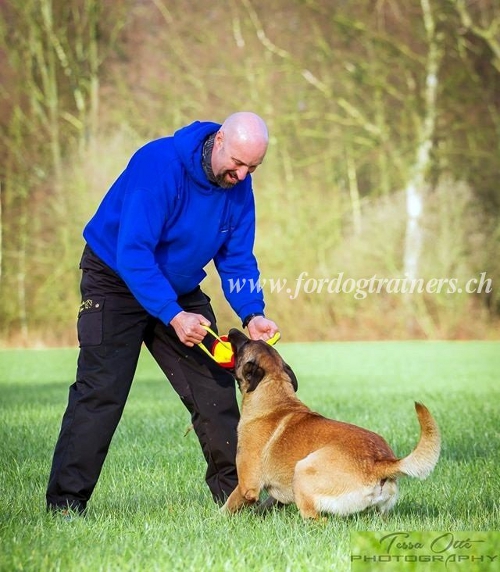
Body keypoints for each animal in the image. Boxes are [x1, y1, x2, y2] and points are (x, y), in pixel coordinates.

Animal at [223, 328, 442, 520]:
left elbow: (227, 506)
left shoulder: (247, 486)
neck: (275, 395)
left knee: (317, 520)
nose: (233, 330)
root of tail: (379, 463)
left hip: (303, 471)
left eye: (246, 343)